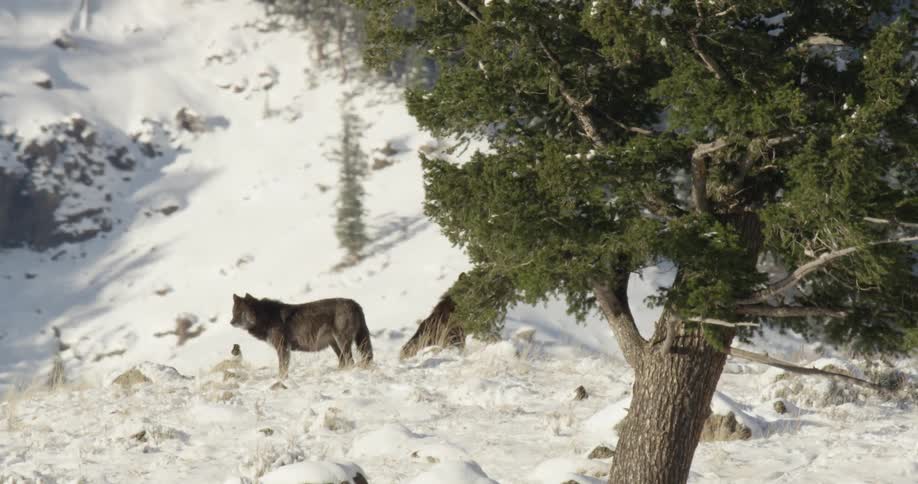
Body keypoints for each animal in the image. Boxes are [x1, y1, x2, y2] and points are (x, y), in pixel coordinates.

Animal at [229, 293, 373, 378]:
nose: (231, 322)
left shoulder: (283, 348)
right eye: (233, 312)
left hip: (342, 342)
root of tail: (355, 303)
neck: (265, 317)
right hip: (335, 344)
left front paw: (282, 380)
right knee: (343, 361)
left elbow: (282, 368)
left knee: (350, 361)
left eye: (240, 313)